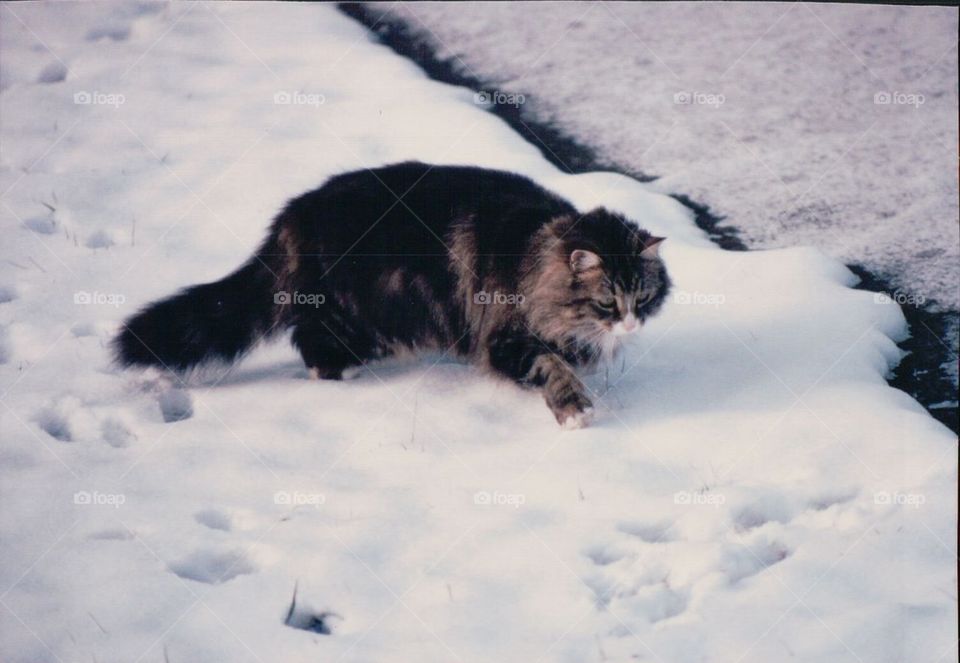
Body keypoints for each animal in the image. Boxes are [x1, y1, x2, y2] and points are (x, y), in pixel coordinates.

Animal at [116, 163, 672, 428]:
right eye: (607, 302)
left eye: (643, 299)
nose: (630, 324)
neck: (534, 256)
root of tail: (293, 216)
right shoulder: (504, 337)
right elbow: (550, 366)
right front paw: (574, 408)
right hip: (358, 315)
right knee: (309, 341)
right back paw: (343, 373)